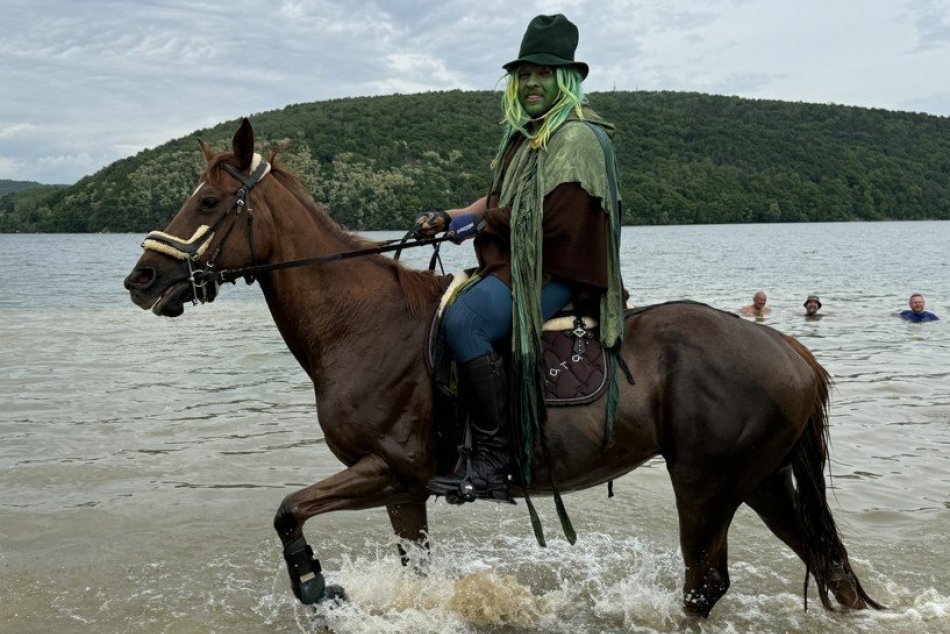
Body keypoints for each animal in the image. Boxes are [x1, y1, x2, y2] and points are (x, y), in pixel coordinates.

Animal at [121, 117, 884, 612]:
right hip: (758, 479)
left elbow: (287, 511)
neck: (361, 323)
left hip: (706, 483)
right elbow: (414, 570)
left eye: (208, 201)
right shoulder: (401, 492)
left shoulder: (389, 468)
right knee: (830, 569)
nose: (141, 280)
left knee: (706, 586)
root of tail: (791, 351)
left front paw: (313, 582)